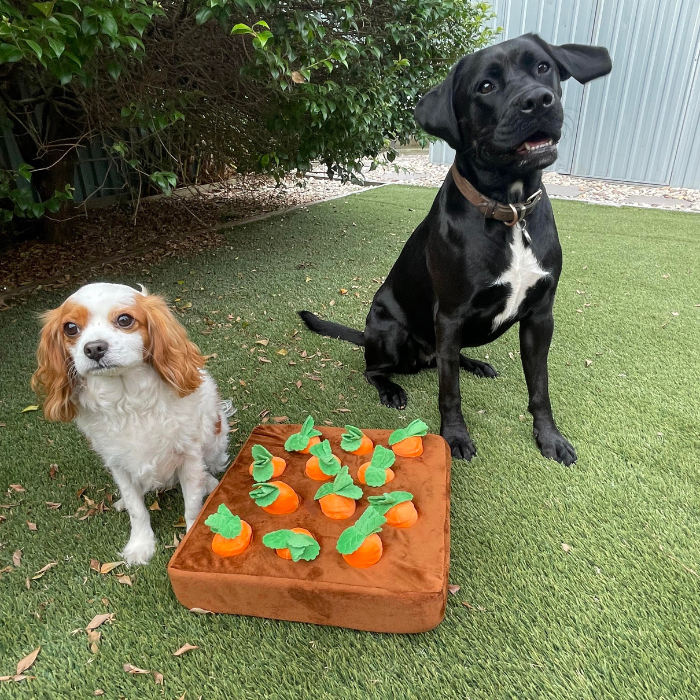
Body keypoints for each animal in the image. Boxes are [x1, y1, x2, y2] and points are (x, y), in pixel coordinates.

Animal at [32, 282, 232, 568]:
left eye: (124, 320)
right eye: (70, 328)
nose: (94, 348)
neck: (127, 397)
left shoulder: (190, 456)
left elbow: (192, 504)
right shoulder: (118, 464)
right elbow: (137, 510)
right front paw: (140, 546)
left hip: (216, 436)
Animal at [300, 32, 612, 462]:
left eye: (542, 66)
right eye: (486, 86)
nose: (538, 100)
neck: (509, 210)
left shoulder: (540, 317)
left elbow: (540, 388)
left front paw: (550, 438)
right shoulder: (449, 315)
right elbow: (450, 392)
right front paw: (454, 438)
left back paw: (475, 363)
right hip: (390, 332)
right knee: (375, 369)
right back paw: (391, 388)